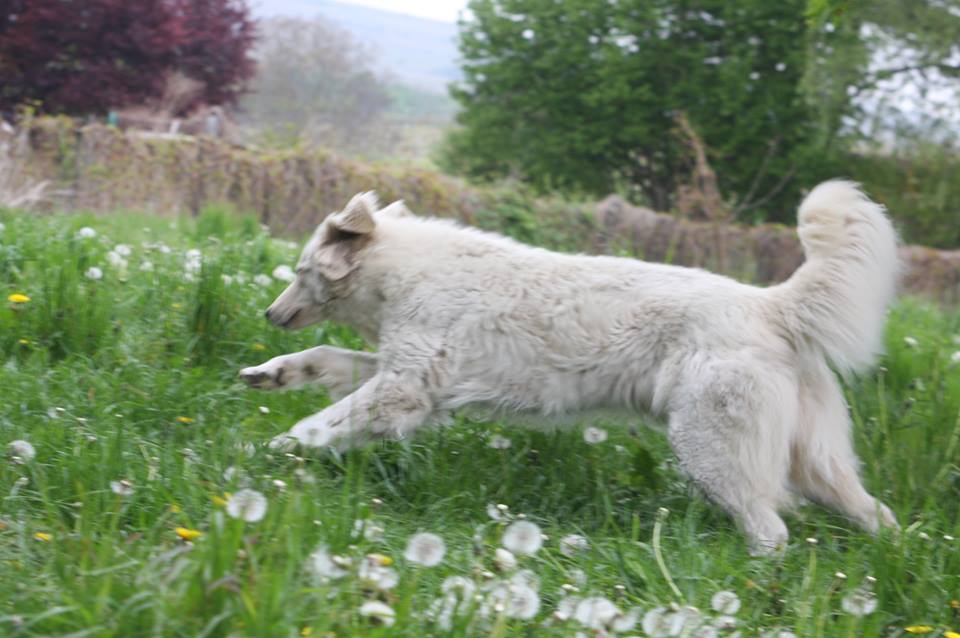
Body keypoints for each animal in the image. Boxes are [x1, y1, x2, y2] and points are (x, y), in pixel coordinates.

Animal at [240, 182, 900, 552]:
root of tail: (770, 304)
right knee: (877, 514)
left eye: (301, 271)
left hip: (713, 451)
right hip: (816, 463)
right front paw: (271, 373)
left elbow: (320, 425)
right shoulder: (404, 378)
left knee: (772, 531)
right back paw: (893, 555)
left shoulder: (404, 390)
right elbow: (323, 360)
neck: (405, 273)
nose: (269, 313)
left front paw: (274, 450)